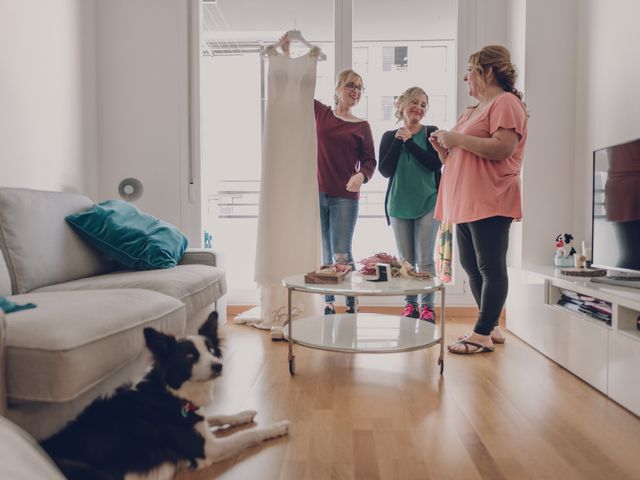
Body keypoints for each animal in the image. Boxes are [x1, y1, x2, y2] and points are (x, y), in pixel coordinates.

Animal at [40, 312, 290, 480]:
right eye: (190, 356)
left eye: (211, 350)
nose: (219, 366)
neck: (171, 394)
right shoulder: (206, 449)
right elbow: (248, 435)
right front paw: (277, 427)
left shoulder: (195, 418)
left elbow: (217, 416)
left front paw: (244, 413)